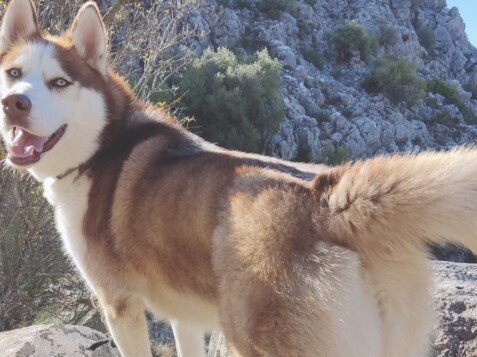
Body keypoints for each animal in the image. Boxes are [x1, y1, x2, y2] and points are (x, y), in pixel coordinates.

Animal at [0, 0, 476, 354]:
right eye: (14, 73)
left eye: (60, 82)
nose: (14, 104)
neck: (101, 145)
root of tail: (329, 200)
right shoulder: (183, 314)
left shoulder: (120, 305)